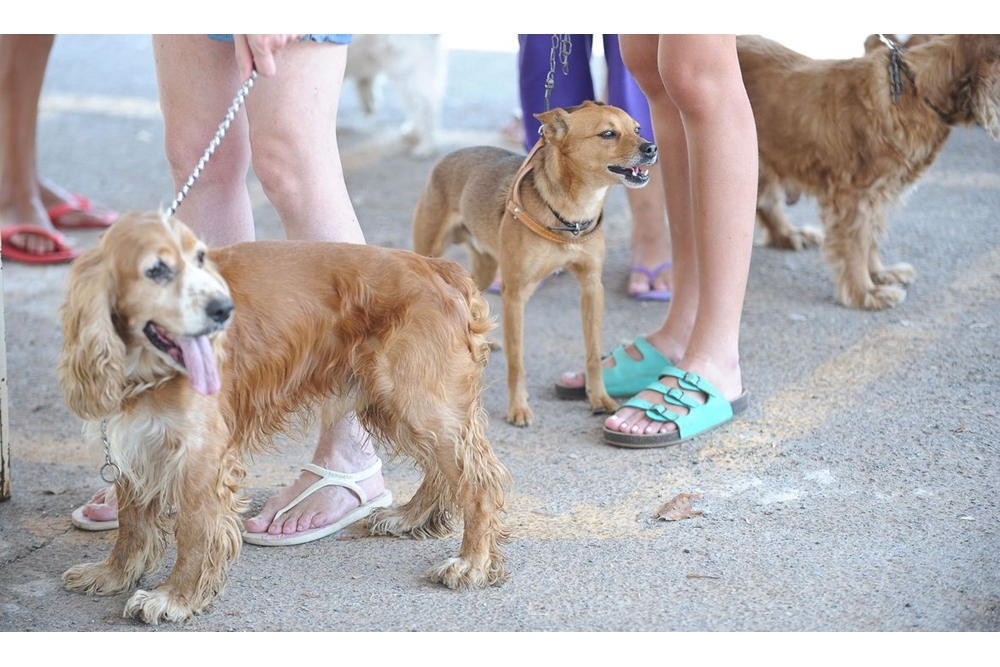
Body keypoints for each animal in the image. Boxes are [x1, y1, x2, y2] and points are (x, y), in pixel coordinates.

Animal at [58, 214, 512, 628]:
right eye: (156, 269)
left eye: (200, 259)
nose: (224, 310)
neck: (145, 367)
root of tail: (438, 267)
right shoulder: (137, 441)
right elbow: (132, 524)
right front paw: (113, 574)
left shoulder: (201, 455)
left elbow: (193, 531)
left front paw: (176, 596)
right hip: (396, 403)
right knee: (443, 470)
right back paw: (412, 517)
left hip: (415, 399)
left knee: (478, 481)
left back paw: (471, 563)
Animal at [412, 102, 656, 426]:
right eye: (607, 134)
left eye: (637, 129)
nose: (651, 147)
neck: (572, 214)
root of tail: (449, 157)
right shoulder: (516, 294)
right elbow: (517, 362)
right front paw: (518, 408)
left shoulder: (591, 287)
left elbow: (593, 353)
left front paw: (599, 397)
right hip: (430, 253)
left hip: (486, 267)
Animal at [740, 34, 1000, 310]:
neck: (917, 90)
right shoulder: (853, 194)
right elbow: (856, 244)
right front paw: (864, 292)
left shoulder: (876, 192)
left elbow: (870, 237)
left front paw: (879, 275)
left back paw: (789, 235)